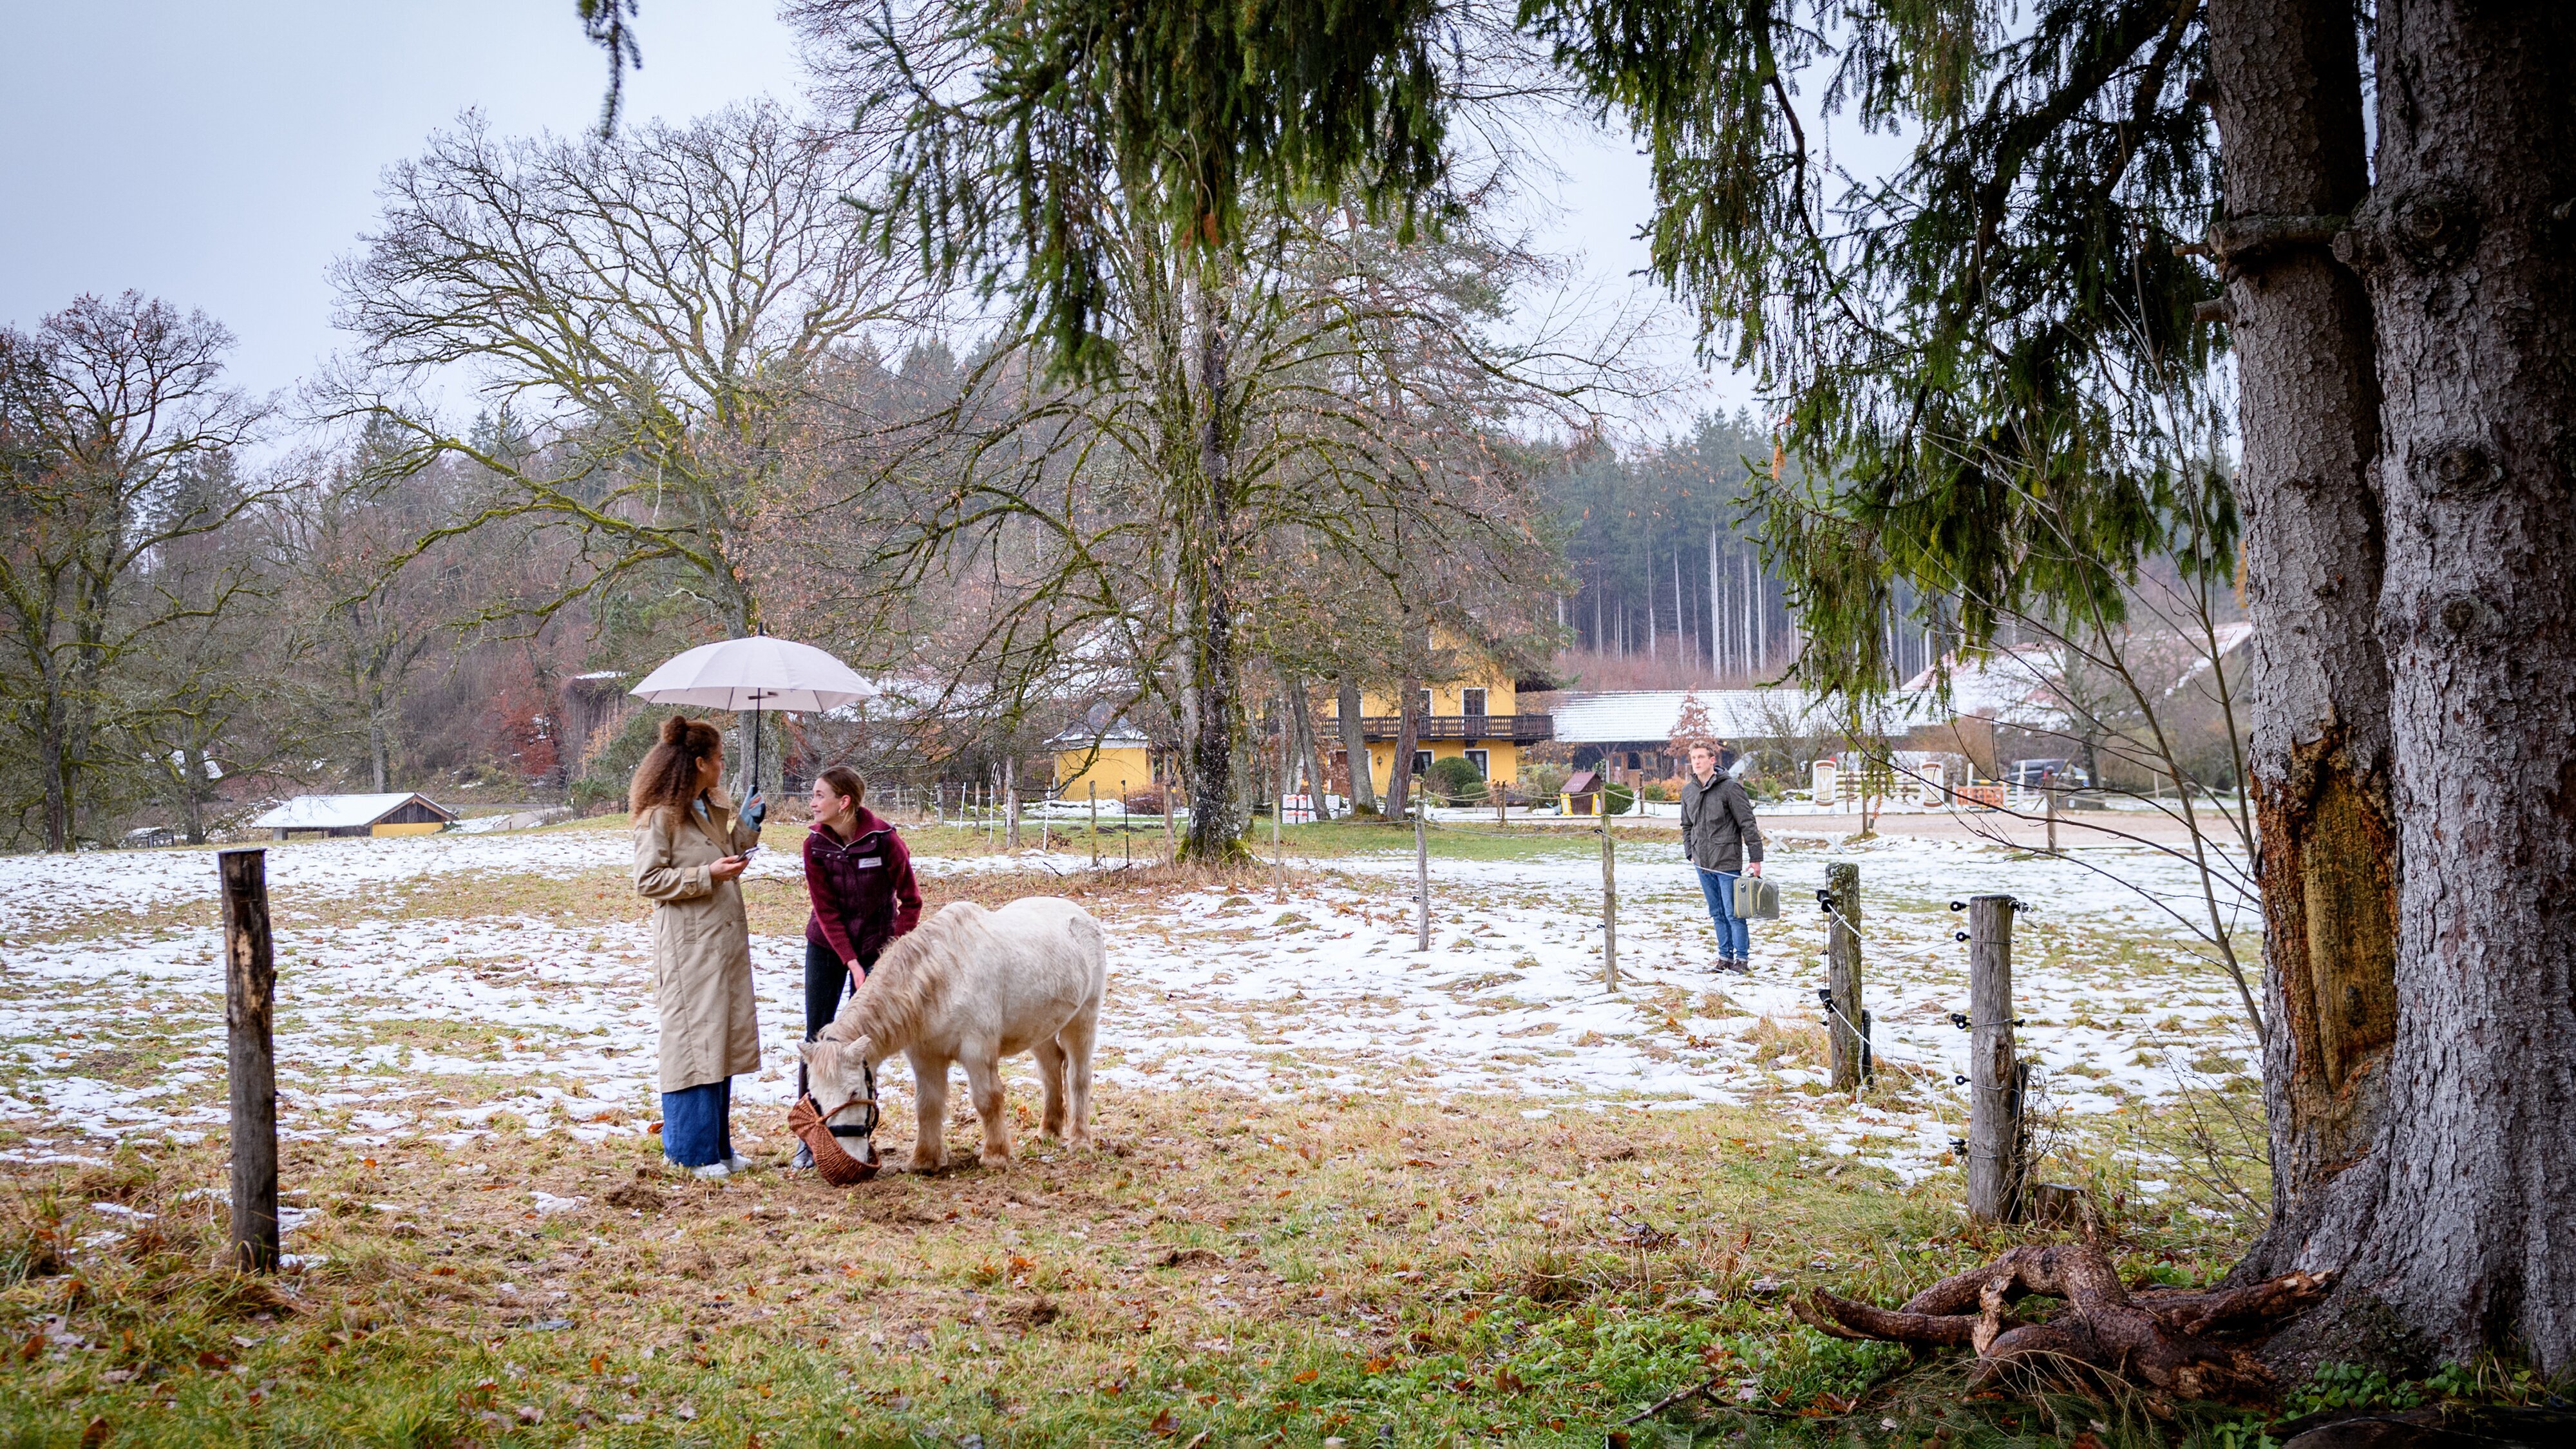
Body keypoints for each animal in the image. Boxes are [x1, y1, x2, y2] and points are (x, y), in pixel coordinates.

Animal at [793, 897, 1097, 1165]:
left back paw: (1080, 1141)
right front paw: (925, 1160)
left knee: (1077, 1077)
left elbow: (987, 1099)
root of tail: (1081, 914)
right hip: (1040, 1028)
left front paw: (995, 1156)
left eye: (854, 1092)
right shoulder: (926, 1057)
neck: (943, 977)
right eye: (815, 1098)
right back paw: (1048, 1131)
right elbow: (927, 1105)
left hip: (1083, 1021)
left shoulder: (977, 1051)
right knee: (1050, 1069)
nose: (845, 1156)